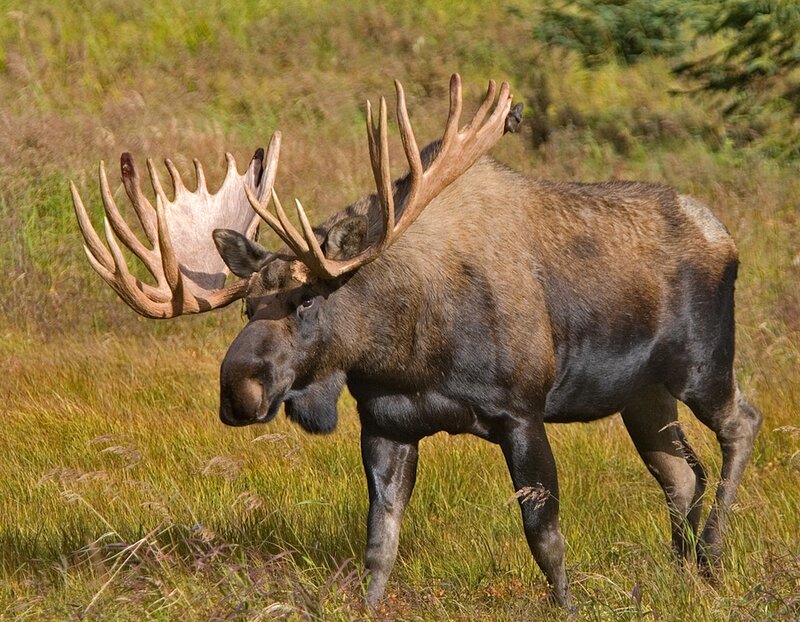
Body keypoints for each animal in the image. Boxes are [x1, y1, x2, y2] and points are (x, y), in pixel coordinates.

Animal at [71, 74, 762, 610]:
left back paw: (712, 554)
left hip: (702, 366)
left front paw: (567, 604)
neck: (406, 348)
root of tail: (726, 237)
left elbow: (545, 536)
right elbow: (380, 545)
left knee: (742, 423)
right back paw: (685, 573)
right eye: (245, 305)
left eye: (307, 300)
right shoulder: (387, 423)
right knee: (681, 474)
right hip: (642, 395)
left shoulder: (522, 410)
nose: (238, 391)